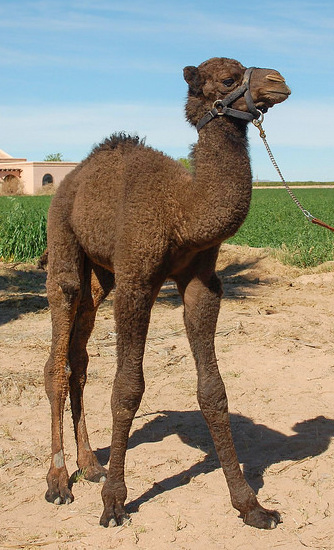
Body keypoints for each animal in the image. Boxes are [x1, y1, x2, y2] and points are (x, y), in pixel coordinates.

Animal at [43, 55, 290, 532]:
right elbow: (127, 389)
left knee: (79, 357)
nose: (279, 81)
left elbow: (213, 390)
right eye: (229, 78)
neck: (184, 211)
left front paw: (251, 505)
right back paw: (59, 481)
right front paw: (114, 503)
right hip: (62, 242)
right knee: (56, 358)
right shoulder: (137, 279)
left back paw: (90, 464)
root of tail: (70, 180)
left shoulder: (201, 281)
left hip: (101, 275)